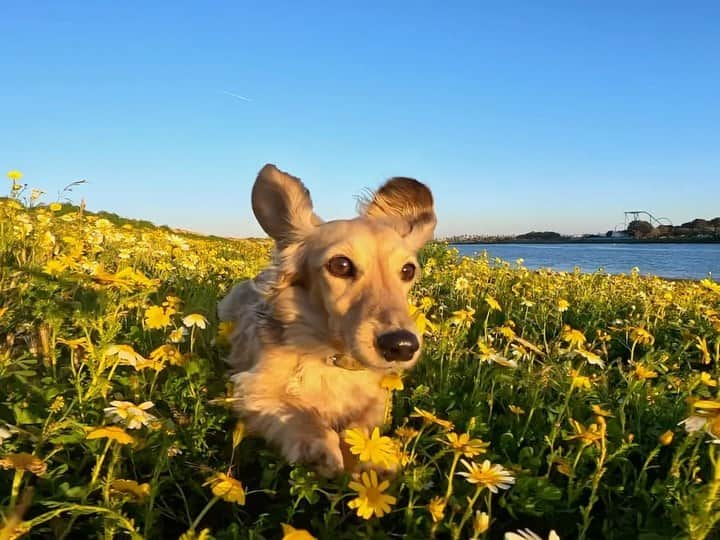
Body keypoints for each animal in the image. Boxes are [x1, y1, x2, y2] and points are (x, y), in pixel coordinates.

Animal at [217, 165, 436, 476]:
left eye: (408, 270)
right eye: (340, 265)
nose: (402, 346)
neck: (332, 357)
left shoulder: (378, 397)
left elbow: (363, 425)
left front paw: (371, 456)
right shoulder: (251, 388)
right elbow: (302, 416)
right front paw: (323, 448)